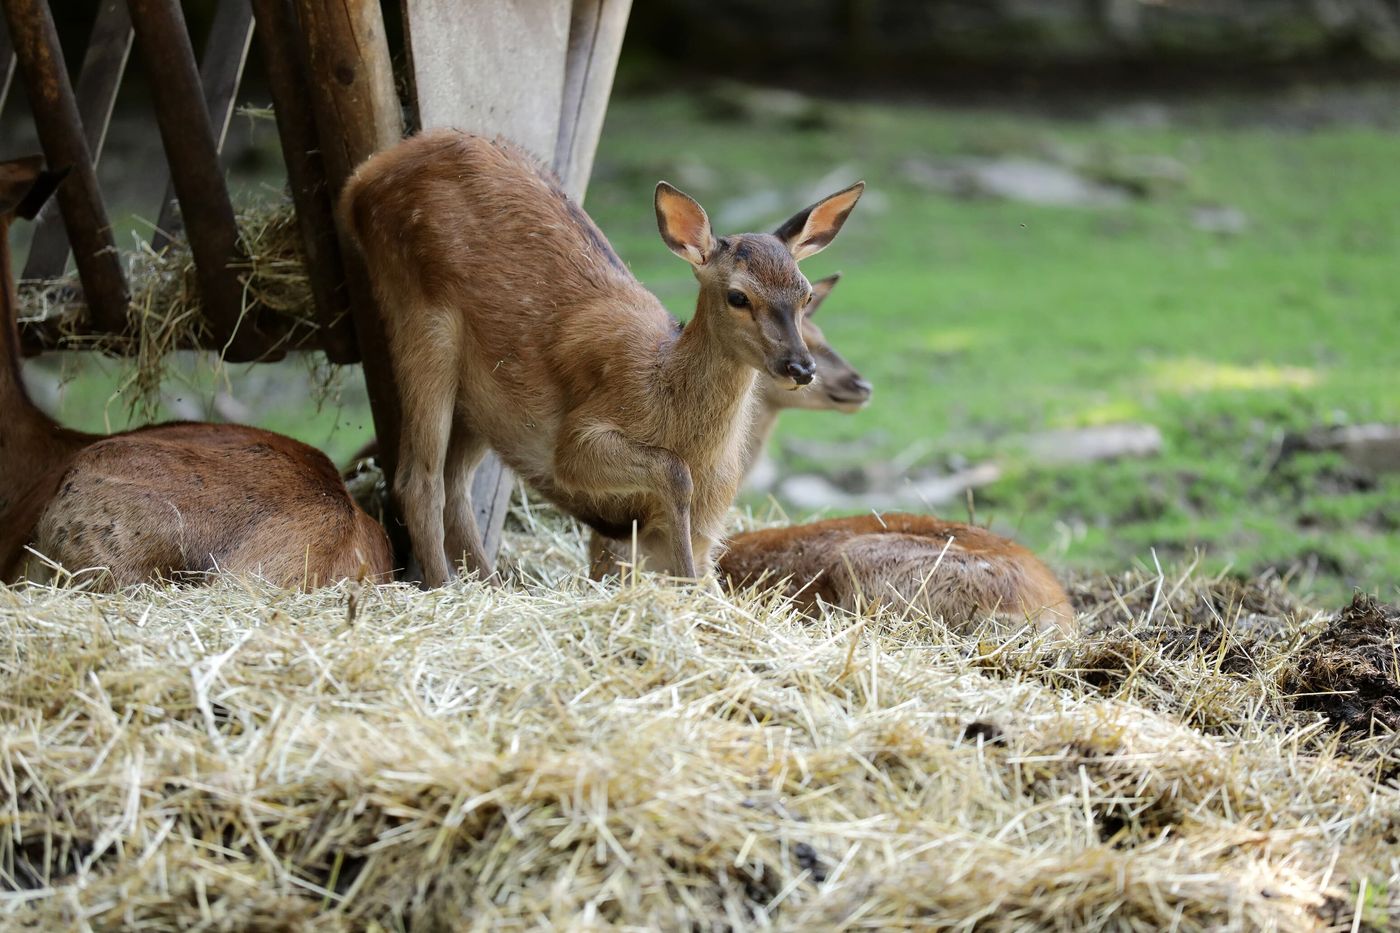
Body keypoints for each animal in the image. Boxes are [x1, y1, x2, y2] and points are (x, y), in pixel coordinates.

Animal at [341, 132, 862, 582]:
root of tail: (360, 181)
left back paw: (490, 586)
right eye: (738, 296)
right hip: (420, 321)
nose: (802, 368)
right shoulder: (579, 442)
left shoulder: (712, 518)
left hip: (481, 399)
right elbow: (670, 475)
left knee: (454, 484)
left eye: (805, 293)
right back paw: (445, 587)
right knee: (417, 480)